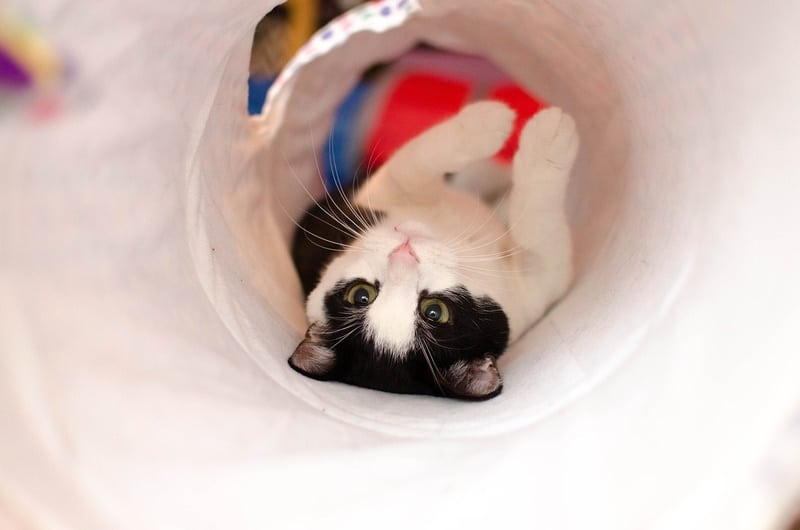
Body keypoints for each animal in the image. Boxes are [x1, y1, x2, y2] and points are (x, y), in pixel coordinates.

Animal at [290, 101, 580, 398]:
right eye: (434, 311)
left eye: (361, 295)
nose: (404, 251)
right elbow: (539, 232)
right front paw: (539, 135)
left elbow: (411, 169)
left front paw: (485, 124)